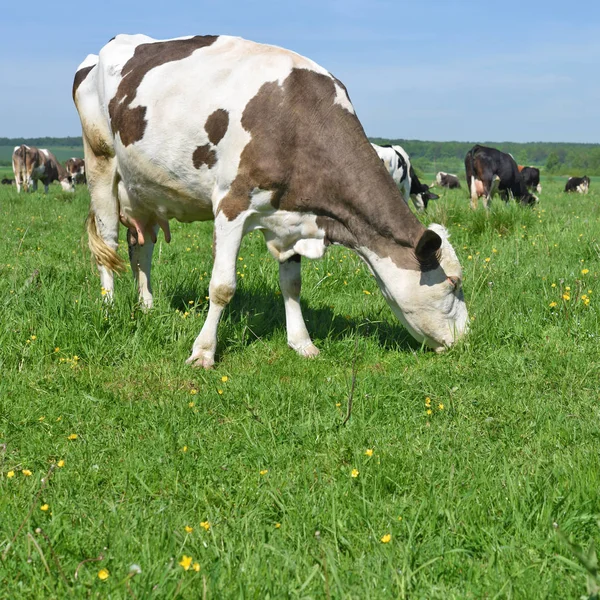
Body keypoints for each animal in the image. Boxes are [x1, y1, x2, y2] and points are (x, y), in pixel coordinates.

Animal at [74, 36, 468, 370]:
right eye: (453, 284)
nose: (466, 340)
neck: (295, 119)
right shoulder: (231, 206)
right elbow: (222, 287)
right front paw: (203, 352)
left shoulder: (294, 218)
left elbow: (291, 284)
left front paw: (302, 343)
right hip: (100, 163)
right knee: (108, 243)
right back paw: (109, 306)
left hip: (144, 190)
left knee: (141, 246)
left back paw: (147, 305)